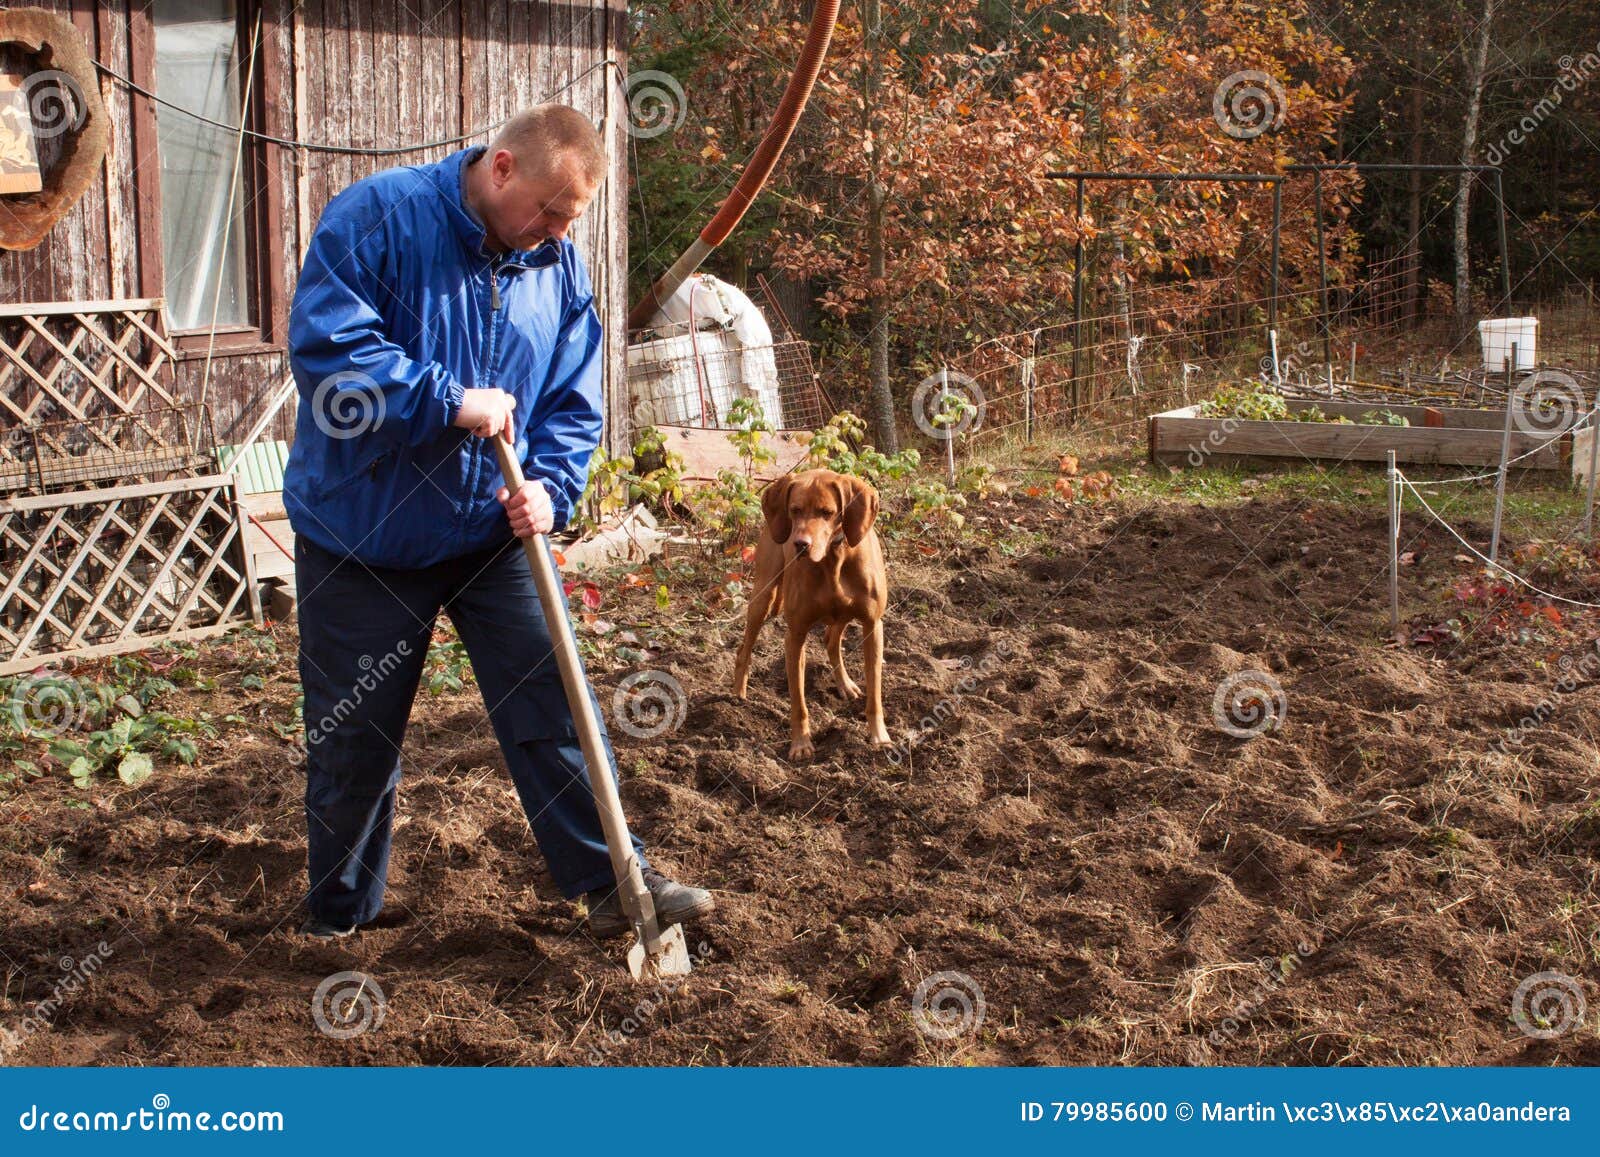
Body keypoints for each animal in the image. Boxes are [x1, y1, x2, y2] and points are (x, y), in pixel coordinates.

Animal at [732, 470, 896, 761]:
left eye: (827, 512)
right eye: (795, 510)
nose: (800, 544)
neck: (833, 557)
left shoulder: (872, 626)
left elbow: (875, 693)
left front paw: (880, 737)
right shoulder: (795, 636)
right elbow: (798, 702)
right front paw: (800, 744)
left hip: (841, 615)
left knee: (831, 640)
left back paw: (845, 684)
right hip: (763, 597)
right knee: (744, 648)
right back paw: (738, 692)